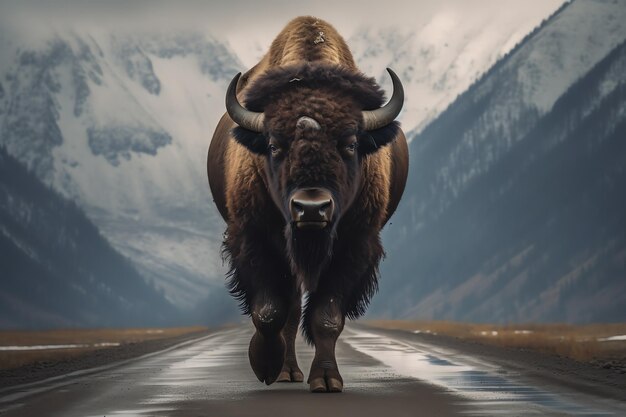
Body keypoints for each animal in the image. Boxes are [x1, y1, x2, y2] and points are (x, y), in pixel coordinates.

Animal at [207, 16, 408, 392]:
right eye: (273, 145)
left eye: (350, 143)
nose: (311, 208)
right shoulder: (254, 239)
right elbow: (269, 310)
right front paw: (264, 365)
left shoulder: (354, 245)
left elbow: (326, 317)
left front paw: (327, 380)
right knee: (287, 310)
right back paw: (284, 372)